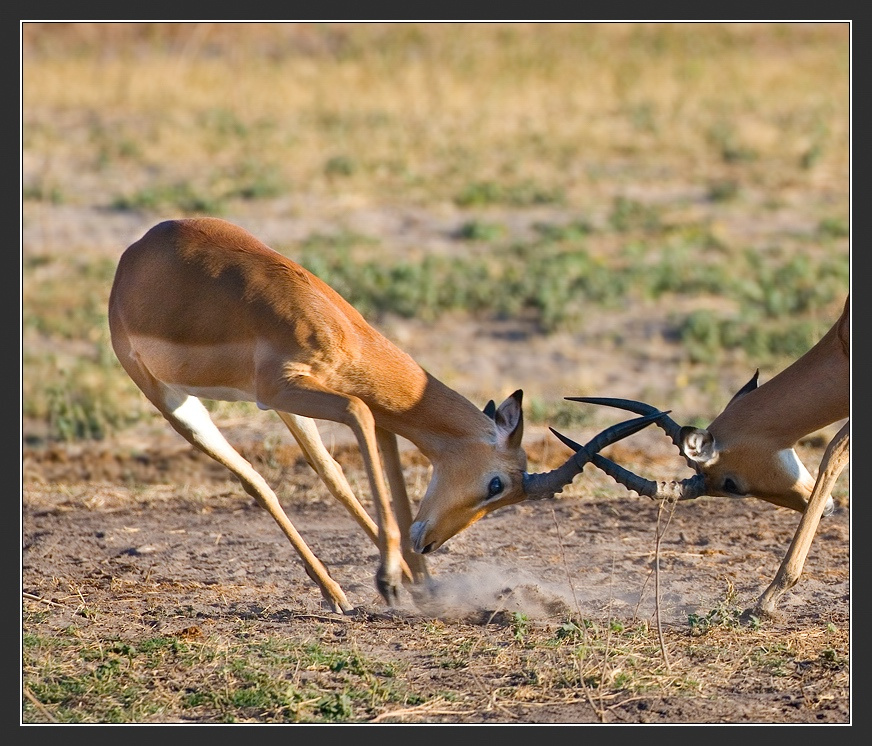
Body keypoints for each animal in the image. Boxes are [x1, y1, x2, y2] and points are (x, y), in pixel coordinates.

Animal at [108, 217, 663, 614]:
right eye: (498, 485)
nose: (431, 542)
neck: (339, 331)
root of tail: (133, 255)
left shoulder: (368, 412)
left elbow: (388, 474)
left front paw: (420, 585)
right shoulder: (298, 390)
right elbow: (361, 420)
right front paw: (392, 579)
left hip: (288, 410)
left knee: (330, 475)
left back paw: (352, 591)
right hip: (179, 402)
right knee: (257, 482)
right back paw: (346, 590)